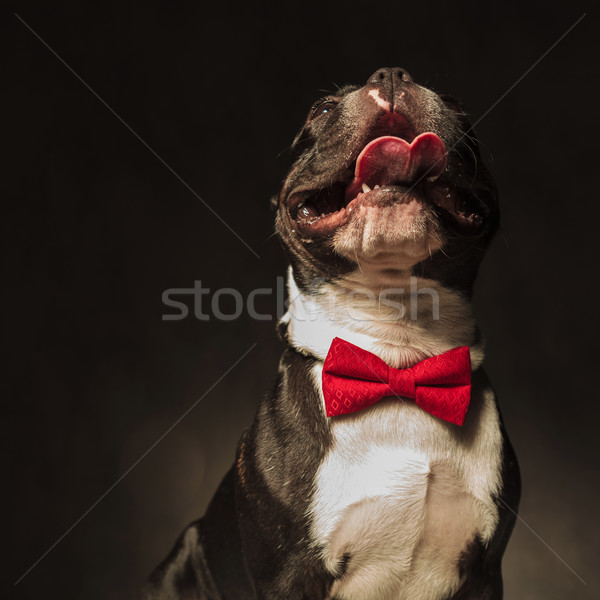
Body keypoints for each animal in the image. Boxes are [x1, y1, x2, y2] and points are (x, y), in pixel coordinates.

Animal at [145, 68, 520, 596]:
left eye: (455, 106)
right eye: (322, 110)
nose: (392, 74)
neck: (395, 355)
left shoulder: (485, 572)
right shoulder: (289, 577)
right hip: (183, 555)